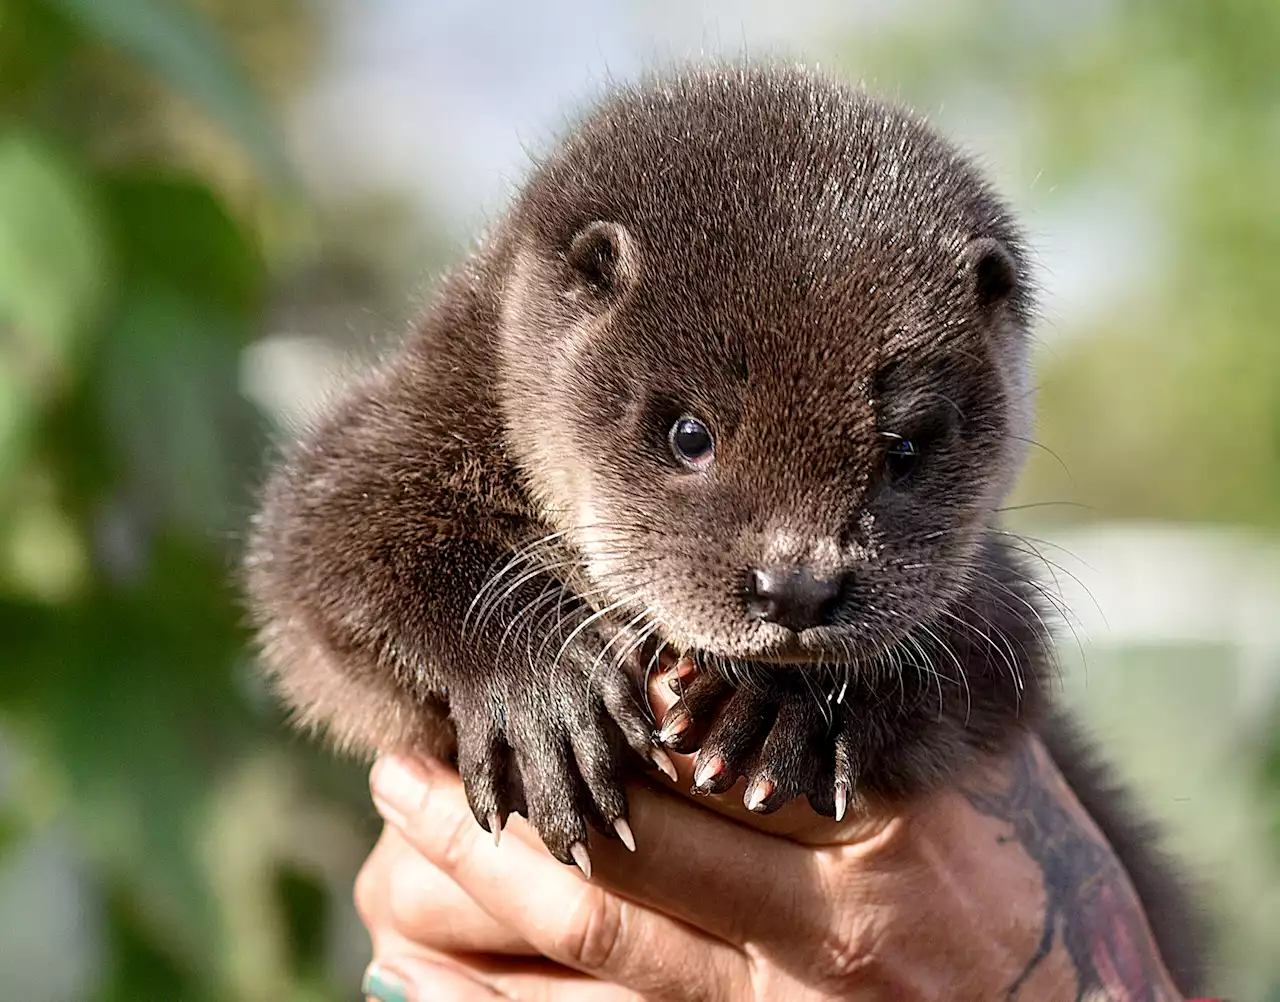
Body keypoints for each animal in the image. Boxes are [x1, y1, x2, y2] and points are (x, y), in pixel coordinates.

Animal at [244, 64, 1203, 993]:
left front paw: (781, 706)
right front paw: (539, 689)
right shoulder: (396, 428)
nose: (798, 588)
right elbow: (331, 548)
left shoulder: (997, 597)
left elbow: (987, 654)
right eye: (689, 433)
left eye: (903, 448)